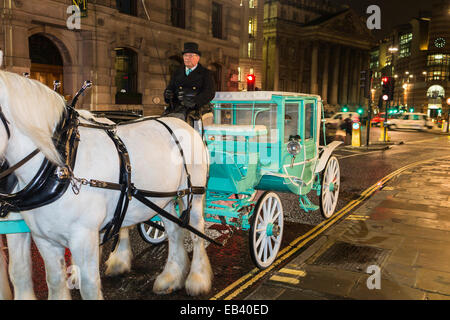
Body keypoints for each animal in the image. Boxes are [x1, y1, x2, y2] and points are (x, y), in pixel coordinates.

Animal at [0, 70, 213, 300]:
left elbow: (89, 286)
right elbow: (51, 281)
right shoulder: (44, 238)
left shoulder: (83, 237)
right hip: (161, 199)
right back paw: (170, 277)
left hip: (194, 194)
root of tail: (180, 121)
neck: (63, 162)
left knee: (196, 231)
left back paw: (198, 279)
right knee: (174, 230)